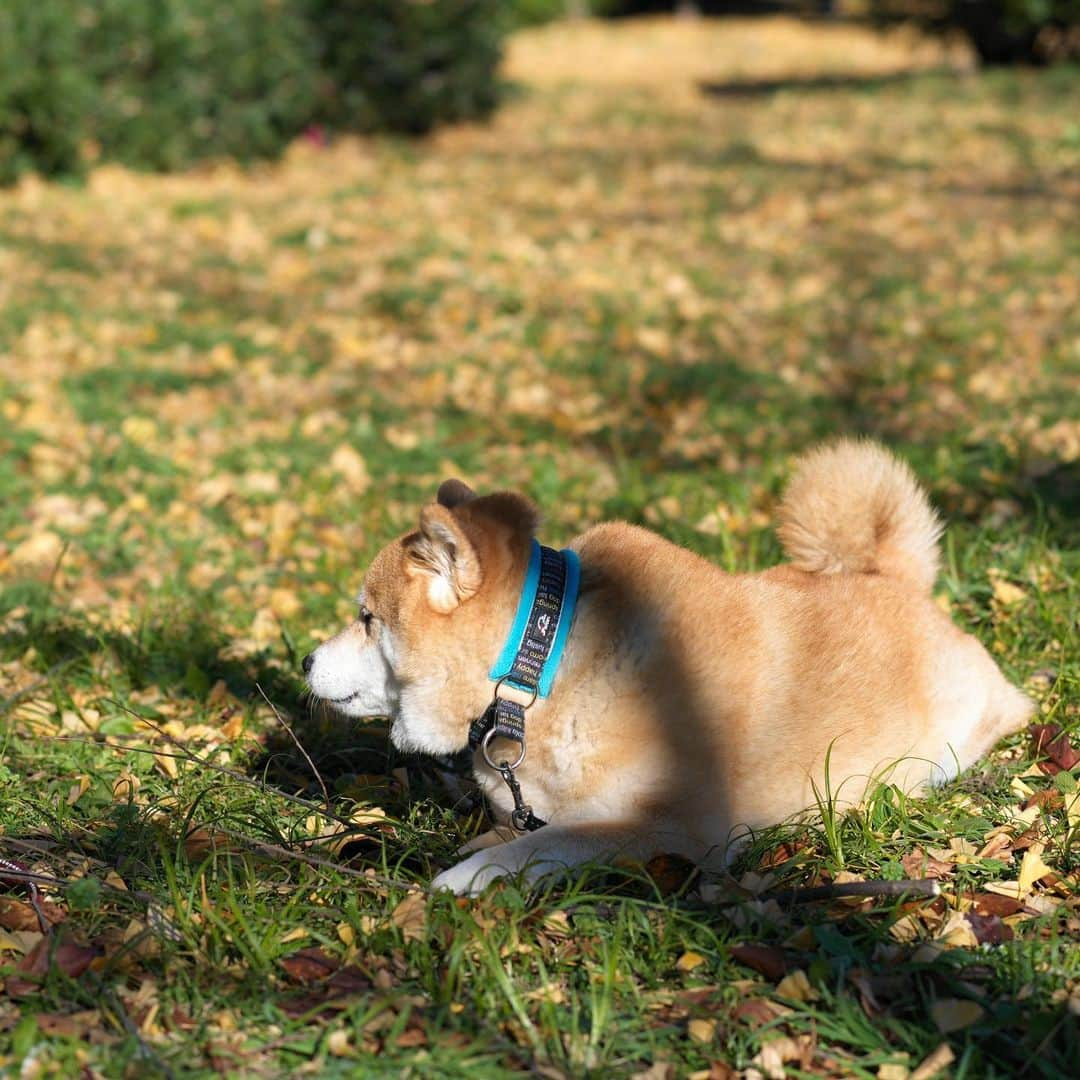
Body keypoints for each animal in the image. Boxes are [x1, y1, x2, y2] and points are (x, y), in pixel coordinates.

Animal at [302, 438, 1028, 894]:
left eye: (366, 618)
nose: (305, 658)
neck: (549, 672)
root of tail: (893, 578)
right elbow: (519, 826)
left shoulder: (687, 829)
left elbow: (553, 841)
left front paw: (473, 875)